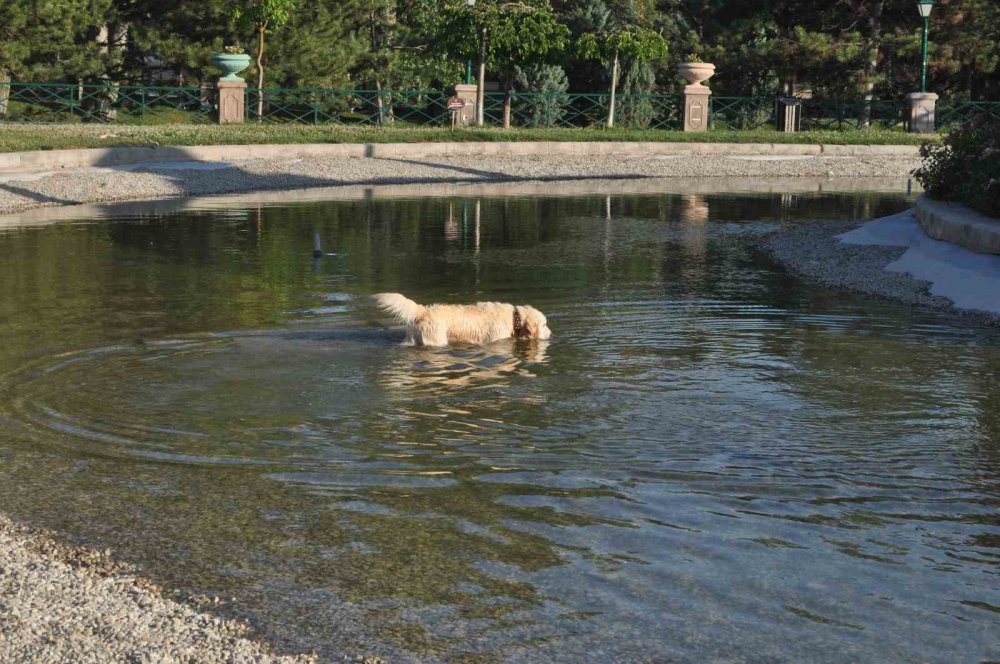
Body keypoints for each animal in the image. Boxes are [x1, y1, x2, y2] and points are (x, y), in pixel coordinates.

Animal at [372, 294, 552, 350]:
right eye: (544, 325)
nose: (551, 334)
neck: (514, 318)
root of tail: (422, 310)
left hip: (410, 340)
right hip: (436, 340)